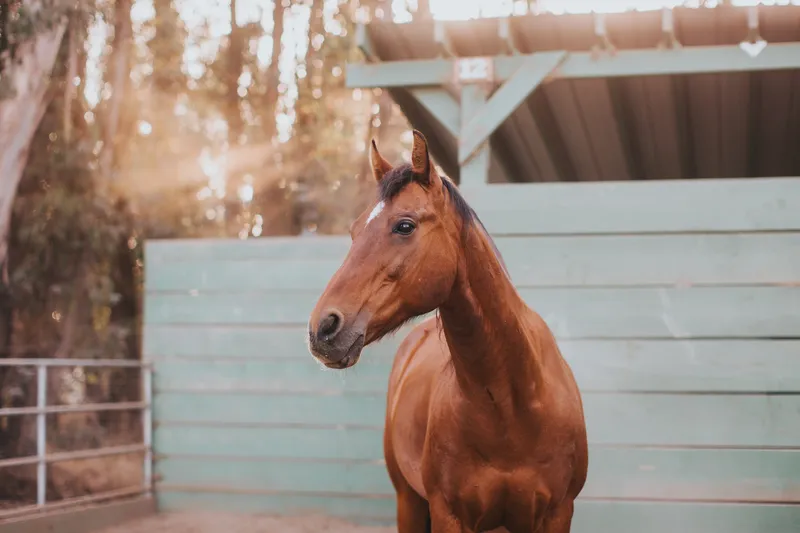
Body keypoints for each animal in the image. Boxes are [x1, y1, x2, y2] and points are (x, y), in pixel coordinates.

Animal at [308, 130, 588, 533]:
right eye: (354, 230)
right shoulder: (448, 514)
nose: (323, 327)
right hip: (408, 502)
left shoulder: (557, 514)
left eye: (404, 225)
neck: (511, 408)